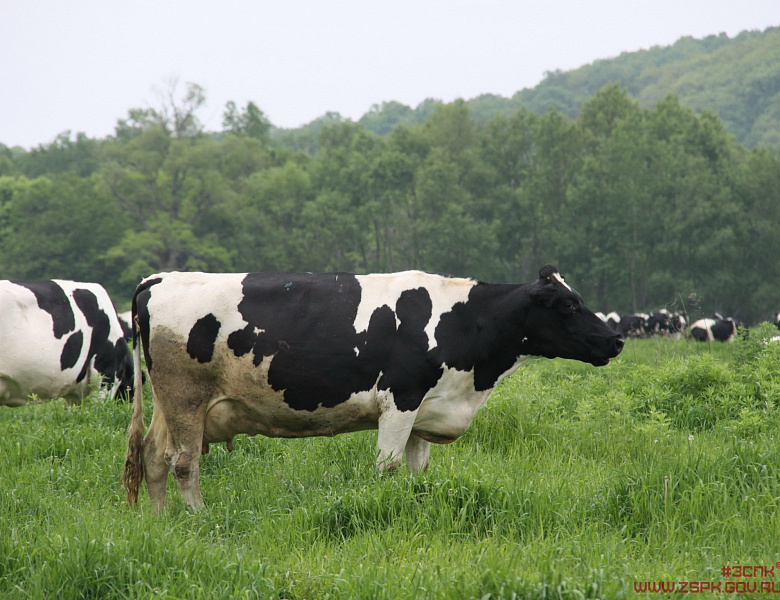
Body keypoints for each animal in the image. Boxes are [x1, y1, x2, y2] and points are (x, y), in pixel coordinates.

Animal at [126, 264, 628, 508]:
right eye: (568, 304)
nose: (616, 339)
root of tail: (159, 278)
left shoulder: (427, 411)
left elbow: (417, 473)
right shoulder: (400, 400)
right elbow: (386, 468)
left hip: (169, 404)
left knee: (151, 457)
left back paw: (160, 521)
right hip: (186, 397)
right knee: (183, 463)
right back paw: (198, 518)